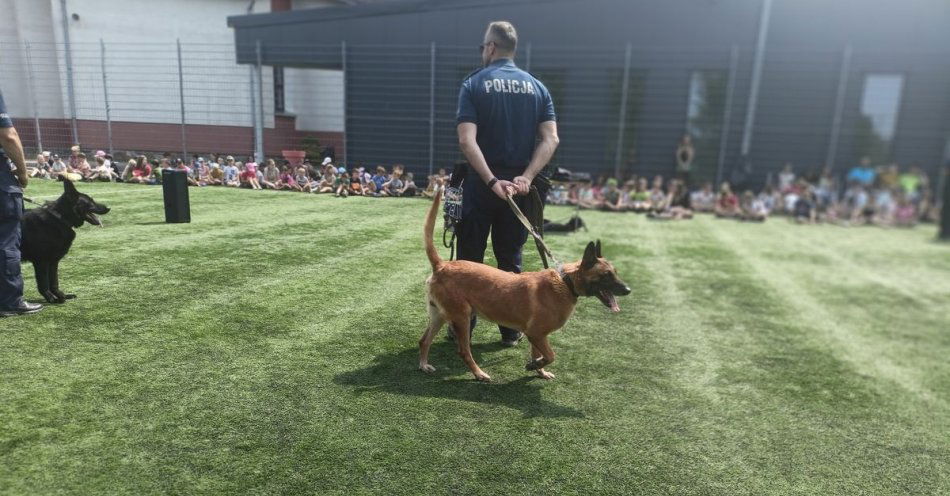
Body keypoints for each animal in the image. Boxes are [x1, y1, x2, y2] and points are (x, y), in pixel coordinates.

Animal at [418, 188, 632, 382]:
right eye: (606, 275)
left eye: (615, 272)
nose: (628, 290)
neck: (566, 282)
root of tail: (442, 265)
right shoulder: (535, 333)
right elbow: (550, 355)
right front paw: (534, 366)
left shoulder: (538, 336)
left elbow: (538, 354)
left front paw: (539, 370)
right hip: (462, 317)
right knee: (463, 351)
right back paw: (479, 374)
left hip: (439, 315)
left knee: (424, 341)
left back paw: (424, 365)